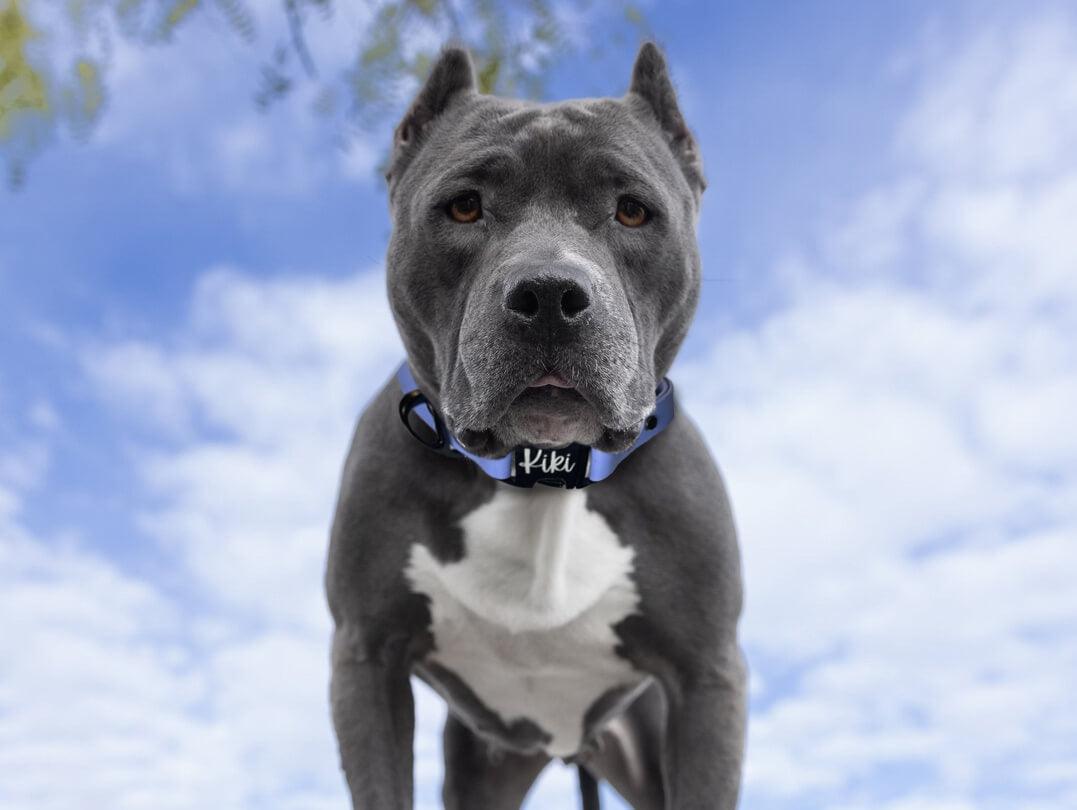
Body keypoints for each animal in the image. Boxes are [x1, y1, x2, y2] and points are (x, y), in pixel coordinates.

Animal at [327, 42, 745, 810]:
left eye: (632, 211)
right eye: (464, 206)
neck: (541, 473)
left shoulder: (706, 679)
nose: (550, 293)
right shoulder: (366, 659)